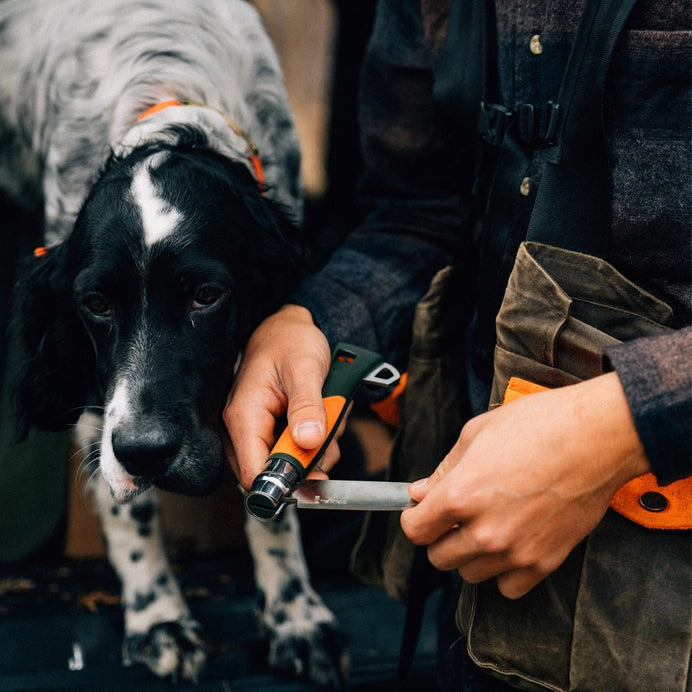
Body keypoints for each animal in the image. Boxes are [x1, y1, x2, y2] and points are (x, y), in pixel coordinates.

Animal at [0, 0, 346, 688]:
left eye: (205, 296)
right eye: (96, 304)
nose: (145, 453)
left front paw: (295, 613)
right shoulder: (100, 398)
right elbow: (128, 509)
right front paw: (158, 618)